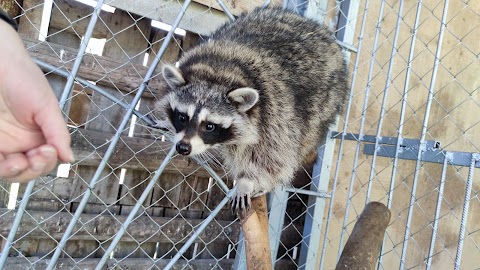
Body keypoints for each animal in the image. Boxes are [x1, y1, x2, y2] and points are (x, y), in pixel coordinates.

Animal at [154, 7, 348, 210]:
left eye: (209, 126)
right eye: (182, 117)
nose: (183, 147)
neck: (218, 72)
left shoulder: (275, 112)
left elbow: (272, 157)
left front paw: (247, 181)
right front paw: (167, 122)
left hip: (325, 104)